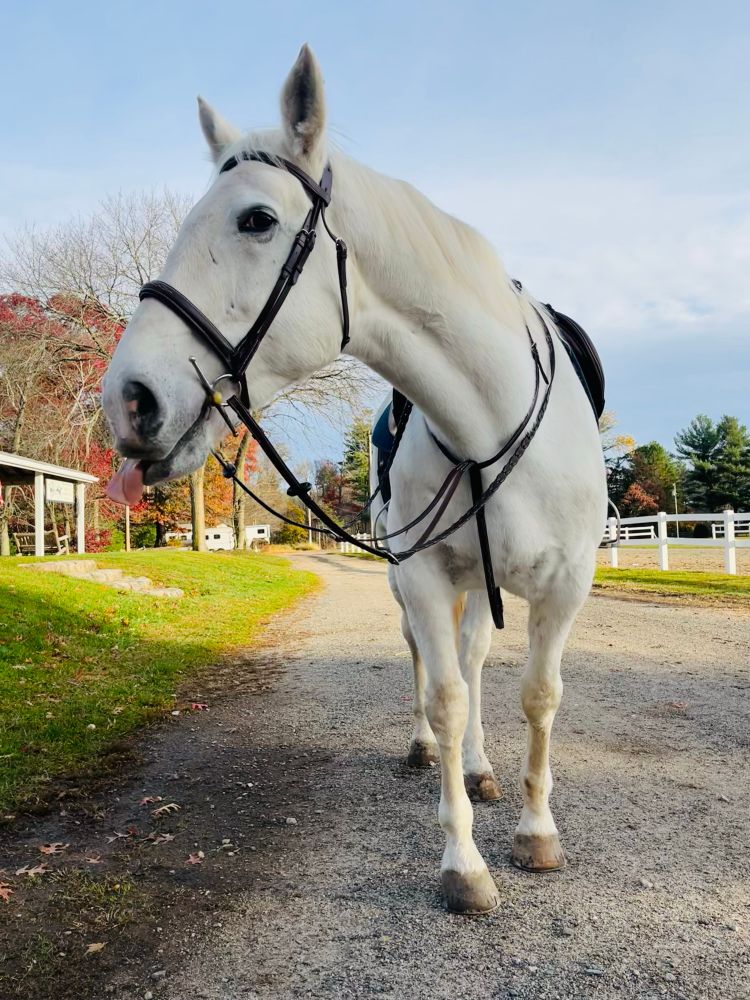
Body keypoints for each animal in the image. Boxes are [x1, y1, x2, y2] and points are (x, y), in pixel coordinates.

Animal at [102, 45, 607, 915]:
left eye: (257, 220)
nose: (128, 400)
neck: (492, 414)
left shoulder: (566, 584)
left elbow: (538, 697)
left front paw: (537, 834)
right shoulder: (427, 575)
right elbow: (445, 697)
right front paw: (462, 862)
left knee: (476, 659)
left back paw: (482, 768)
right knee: (442, 667)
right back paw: (435, 754)